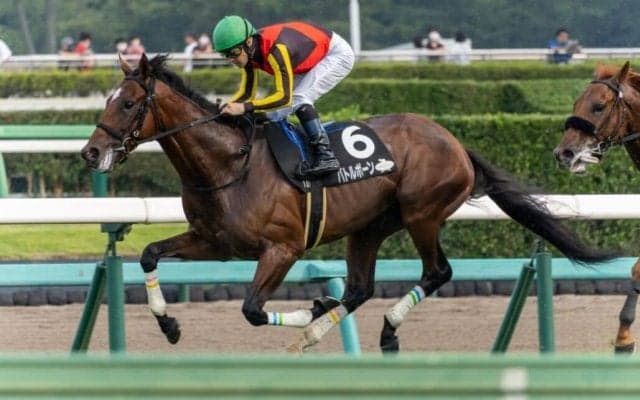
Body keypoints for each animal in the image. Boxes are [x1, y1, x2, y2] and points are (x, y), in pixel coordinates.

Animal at [81, 53, 614, 353]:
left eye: (128, 103)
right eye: (106, 99)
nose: (90, 152)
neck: (228, 164)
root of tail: (454, 141)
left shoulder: (282, 249)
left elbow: (252, 309)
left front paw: (307, 310)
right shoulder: (215, 242)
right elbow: (149, 254)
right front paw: (169, 324)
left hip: (422, 213)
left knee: (437, 272)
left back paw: (376, 330)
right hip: (369, 227)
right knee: (359, 288)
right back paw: (322, 327)